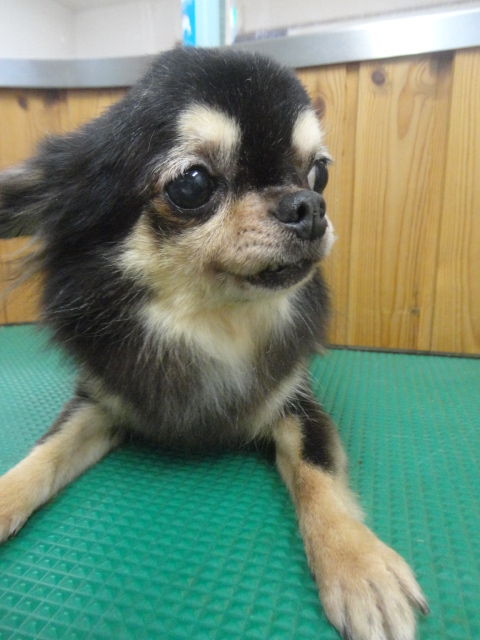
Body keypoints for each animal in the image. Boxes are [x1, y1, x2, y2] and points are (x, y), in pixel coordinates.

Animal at [0, 48, 428, 639]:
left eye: (319, 173)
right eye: (192, 184)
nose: (309, 206)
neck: (212, 325)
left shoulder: (297, 403)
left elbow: (317, 475)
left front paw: (358, 566)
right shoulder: (100, 401)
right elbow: (41, 457)